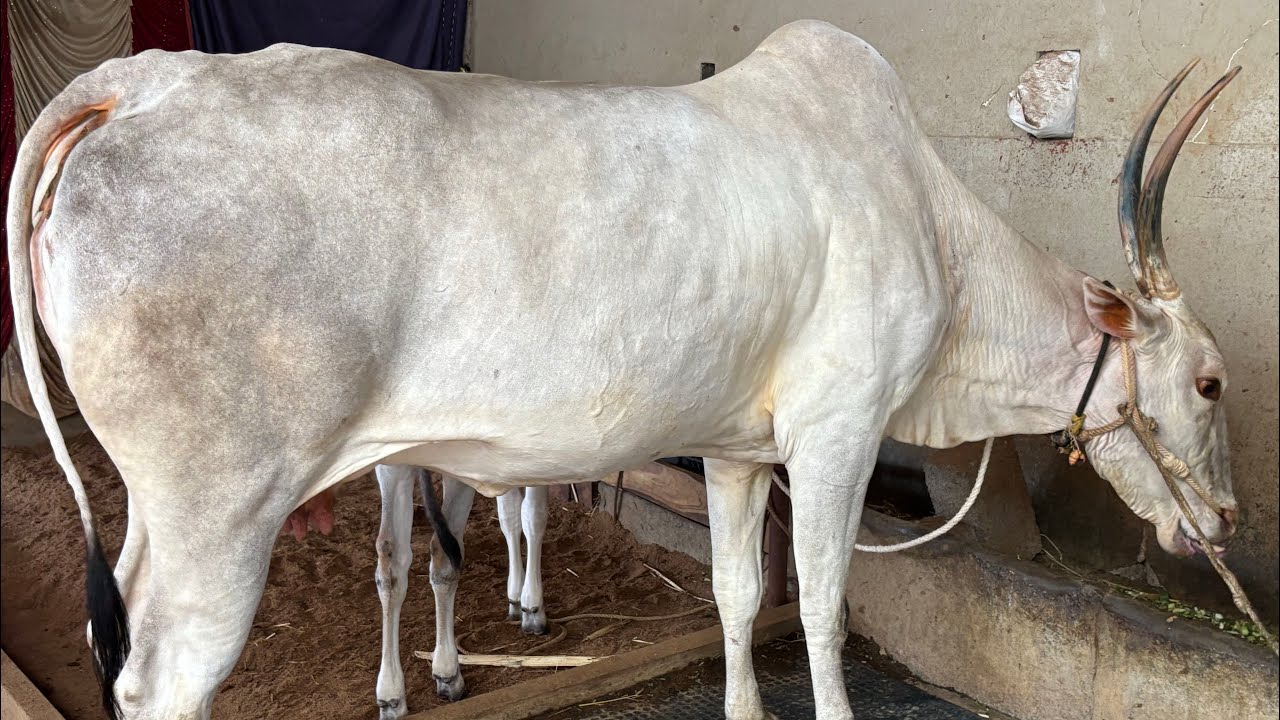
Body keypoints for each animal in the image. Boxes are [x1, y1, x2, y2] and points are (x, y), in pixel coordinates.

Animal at [6, 20, 1242, 720]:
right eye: (1210, 382)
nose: (1225, 520)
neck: (931, 219)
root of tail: (136, 81)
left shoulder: (743, 455)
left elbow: (740, 595)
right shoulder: (836, 437)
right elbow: (826, 606)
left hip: (170, 509)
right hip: (223, 510)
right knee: (162, 678)